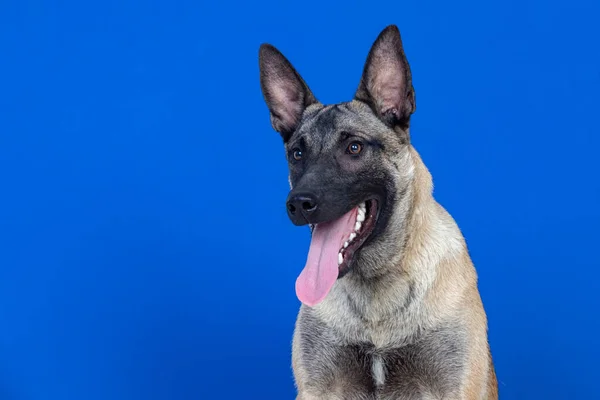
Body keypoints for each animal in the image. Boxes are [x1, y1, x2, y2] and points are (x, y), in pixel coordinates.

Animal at [258, 25, 496, 400]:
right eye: (297, 154)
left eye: (354, 147)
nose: (298, 204)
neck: (377, 291)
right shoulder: (317, 387)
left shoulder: (453, 387)